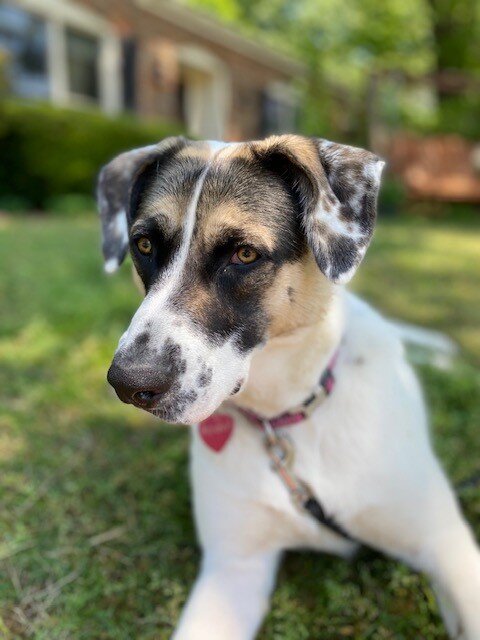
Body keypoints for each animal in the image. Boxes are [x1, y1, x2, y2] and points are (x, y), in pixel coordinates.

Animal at [98, 136, 480, 640]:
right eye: (143, 245)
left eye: (244, 255)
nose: (129, 383)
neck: (285, 415)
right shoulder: (234, 567)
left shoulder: (446, 544)